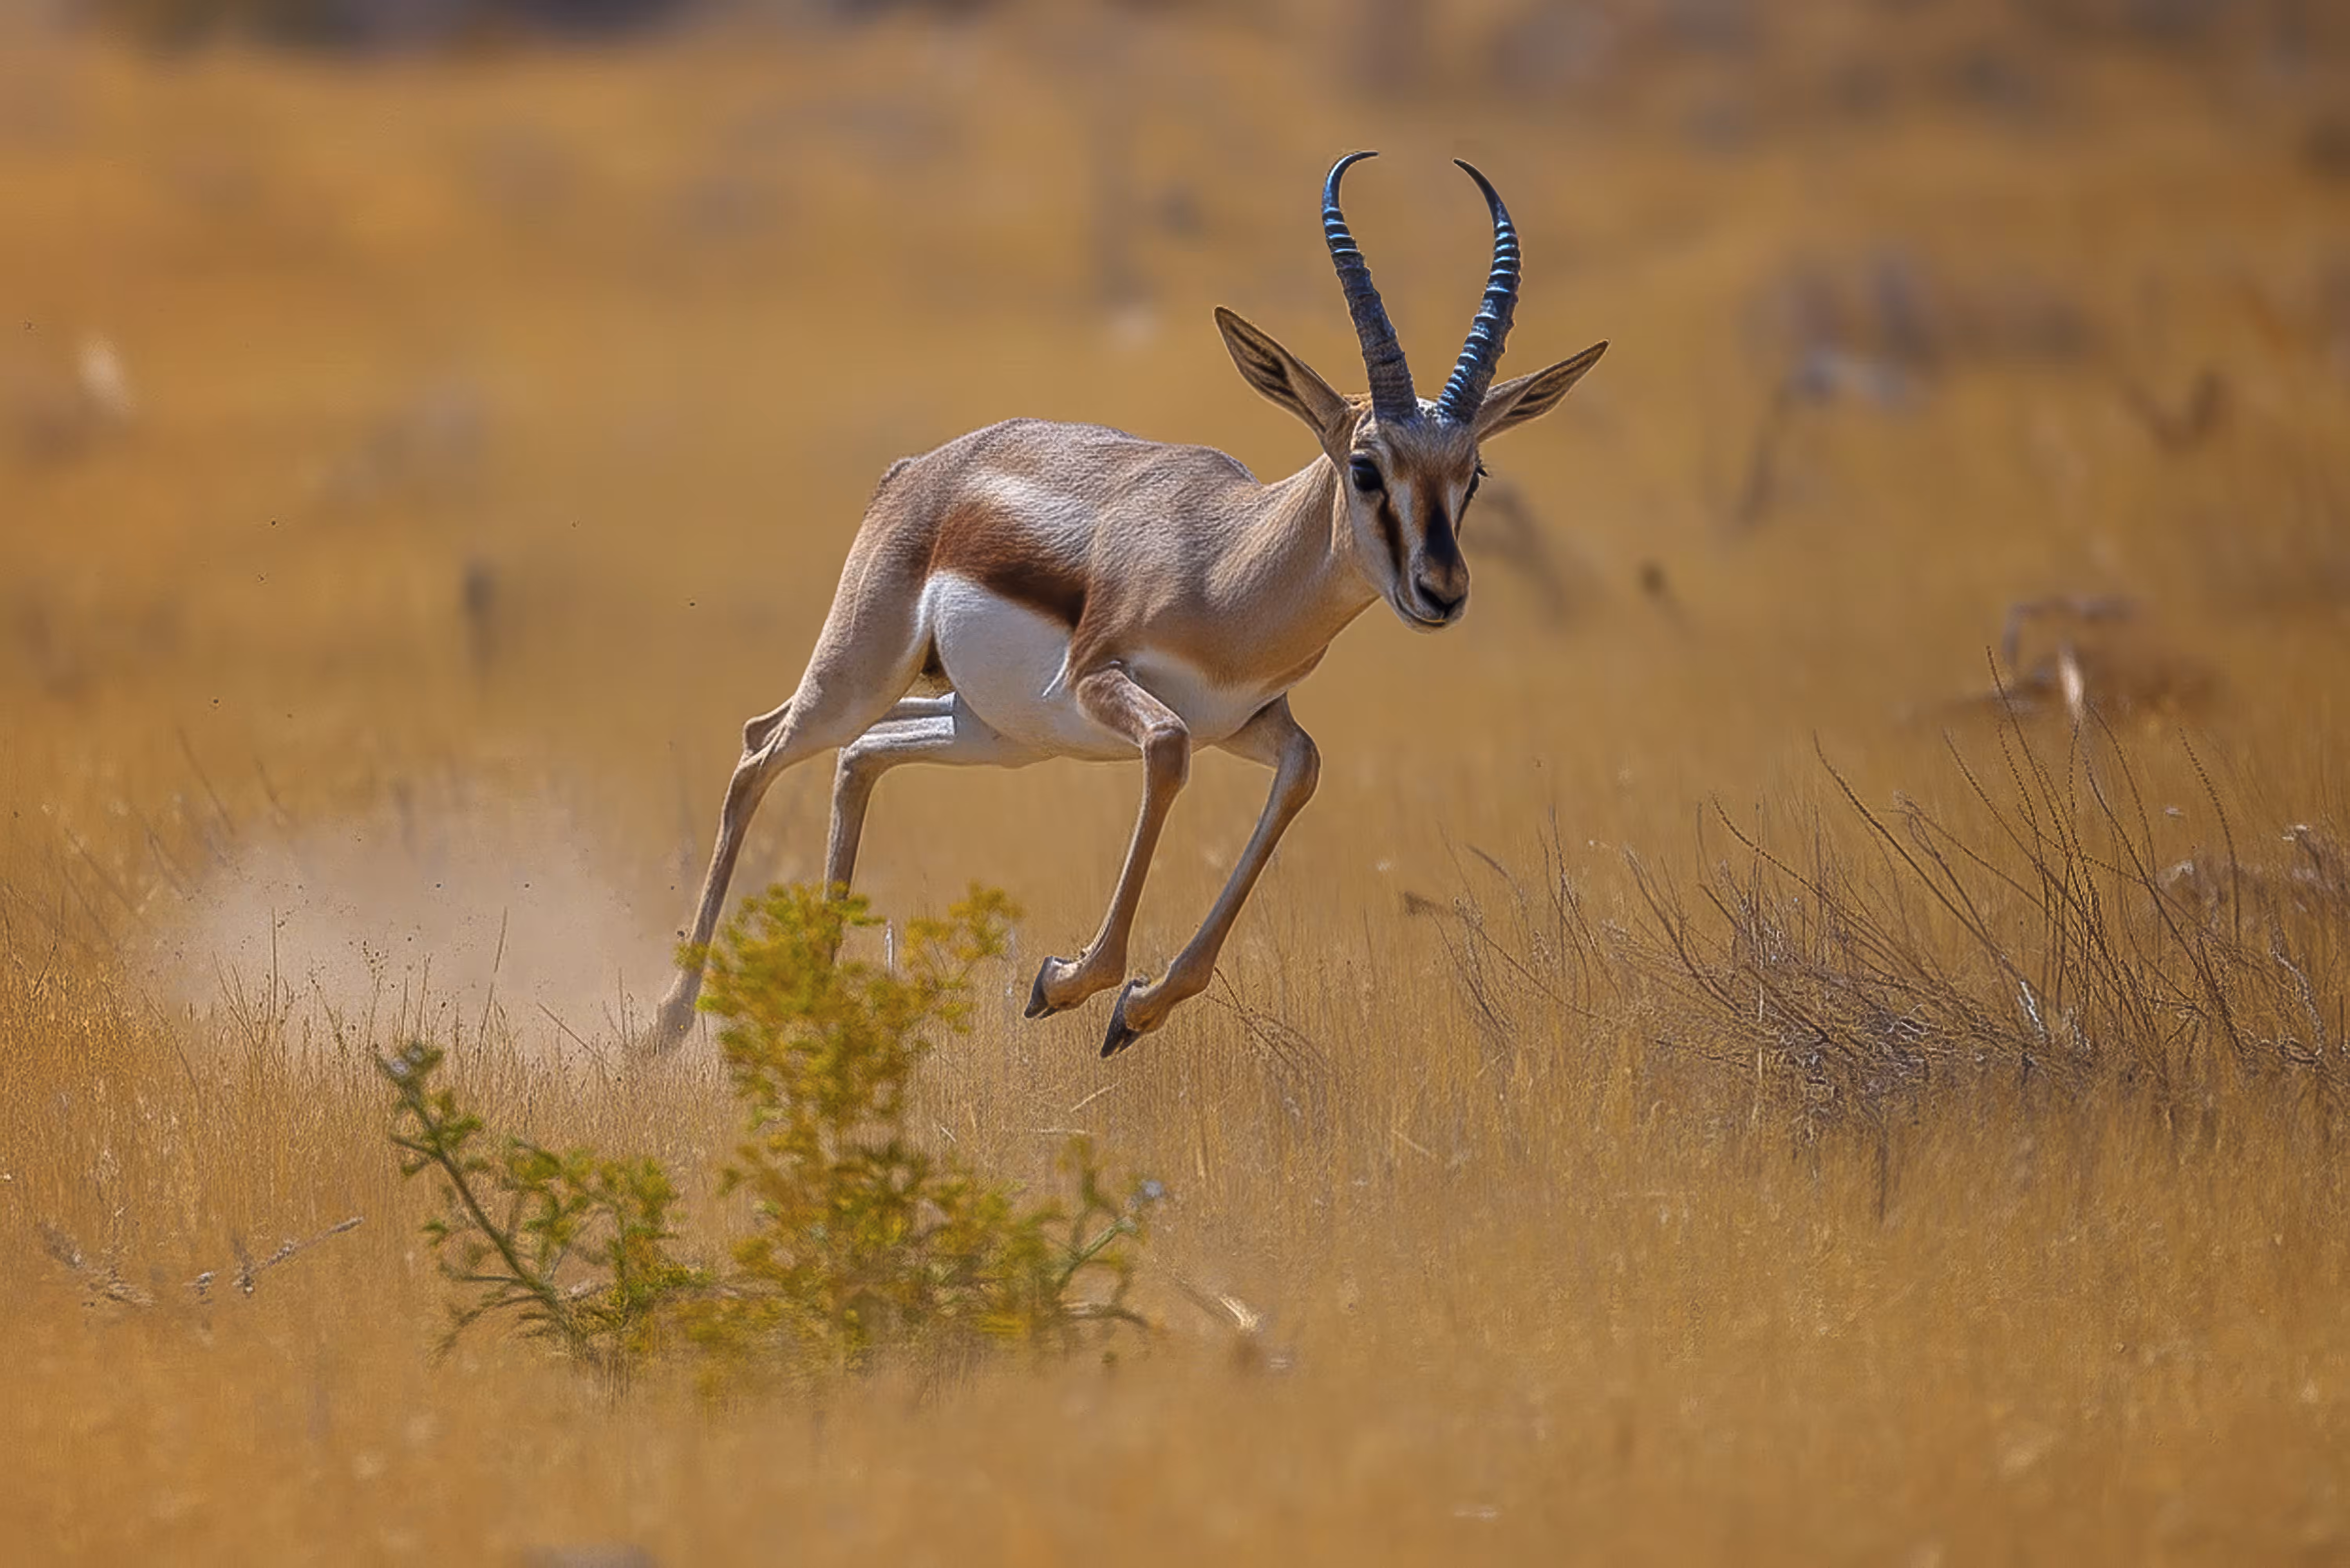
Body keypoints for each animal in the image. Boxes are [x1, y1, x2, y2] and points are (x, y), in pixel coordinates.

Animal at [648, 153, 1607, 1058]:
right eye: (1367, 467)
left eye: (1471, 473)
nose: (1441, 592)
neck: (1225, 567)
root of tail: (918, 471)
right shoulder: (1105, 685)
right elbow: (1169, 753)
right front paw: (1064, 983)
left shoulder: (1252, 721)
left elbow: (1303, 770)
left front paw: (1138, 1011)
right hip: (865, 674)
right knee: (761, 748)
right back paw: (668, 1022)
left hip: (992, 732)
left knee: (858, 758)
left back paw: (814, 996)